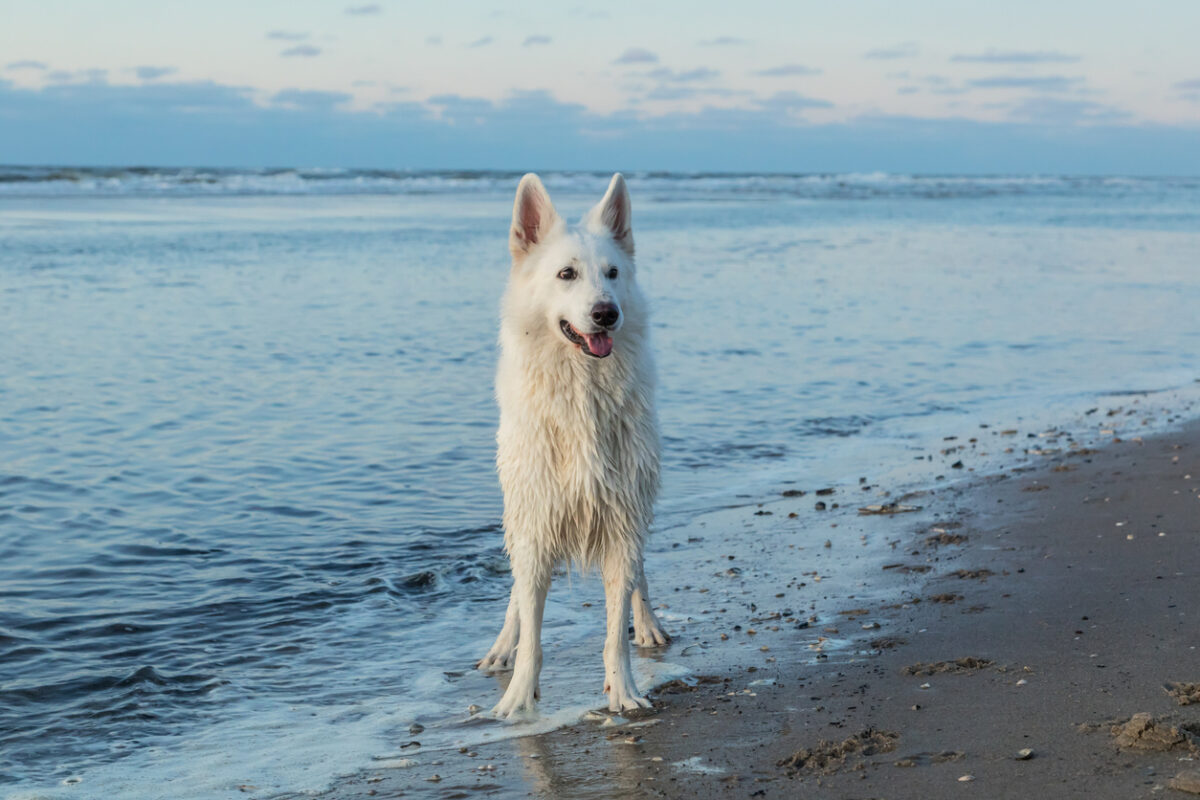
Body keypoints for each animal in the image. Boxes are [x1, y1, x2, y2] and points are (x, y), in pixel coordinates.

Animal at [475, 172, 667, 714]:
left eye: (613, 273)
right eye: (566, 274)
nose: (606, 313)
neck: (582, 390)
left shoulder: (623, 518)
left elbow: (614, 629)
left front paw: (624, 691)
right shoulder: (536, 521)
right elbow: (532, 627)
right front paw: (518, 698)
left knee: (641, 575)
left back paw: (649, 624)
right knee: (517, 595)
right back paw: (502, 646)